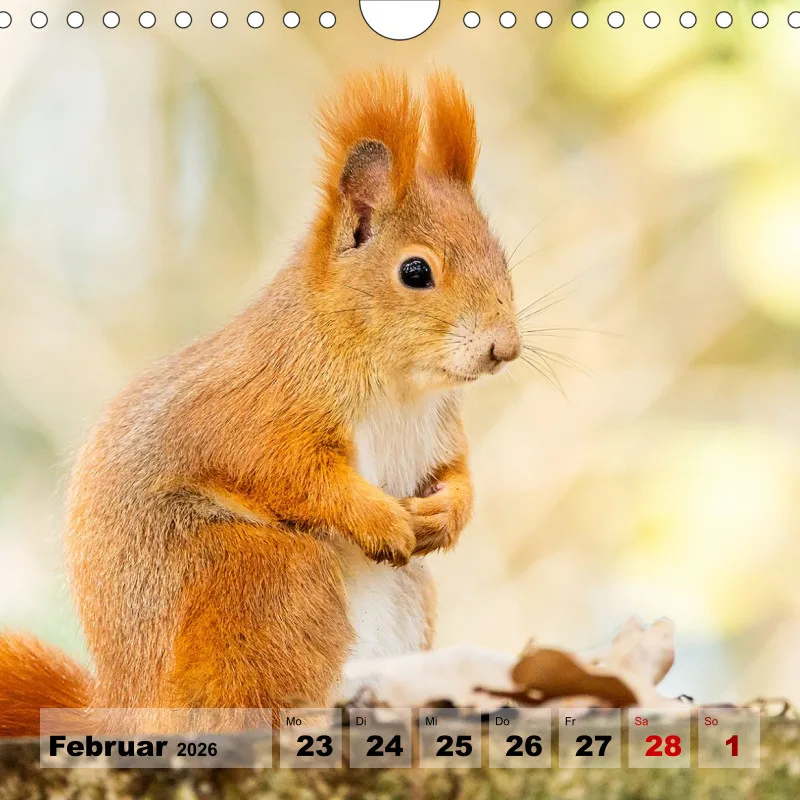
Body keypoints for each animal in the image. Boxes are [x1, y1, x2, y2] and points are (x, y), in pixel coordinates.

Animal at [0, 69, 520, 736]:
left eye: (500, 255)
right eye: (415, 271)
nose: (504, 347)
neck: (399, 383)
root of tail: (128, 716)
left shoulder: (438, 431)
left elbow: (455, 475)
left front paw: (444, 514)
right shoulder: (256, 408)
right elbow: (291, 474)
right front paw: (380, 519)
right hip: (264, 579)